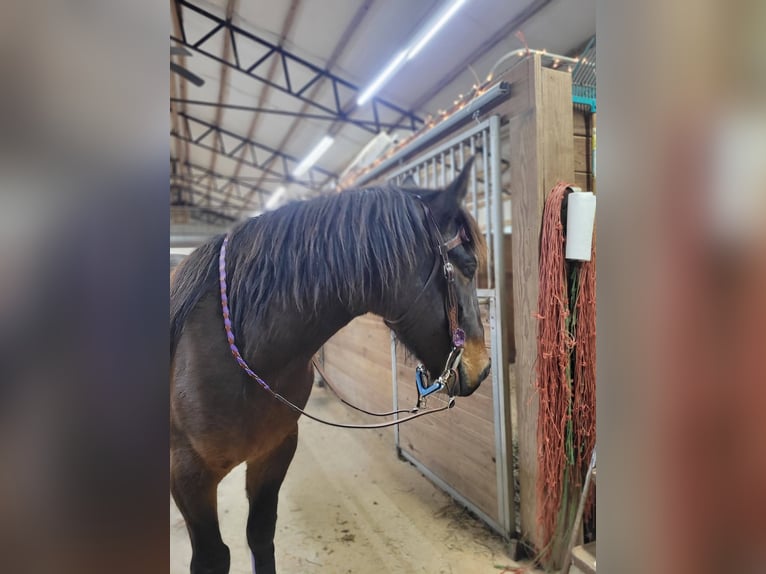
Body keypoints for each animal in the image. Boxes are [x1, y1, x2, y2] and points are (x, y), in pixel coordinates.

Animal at [170, 158, 491, 574]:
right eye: (468, 265)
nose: (483, 368)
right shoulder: (189, 477)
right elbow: (212, 557)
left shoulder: (274, 452)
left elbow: (260, 534)